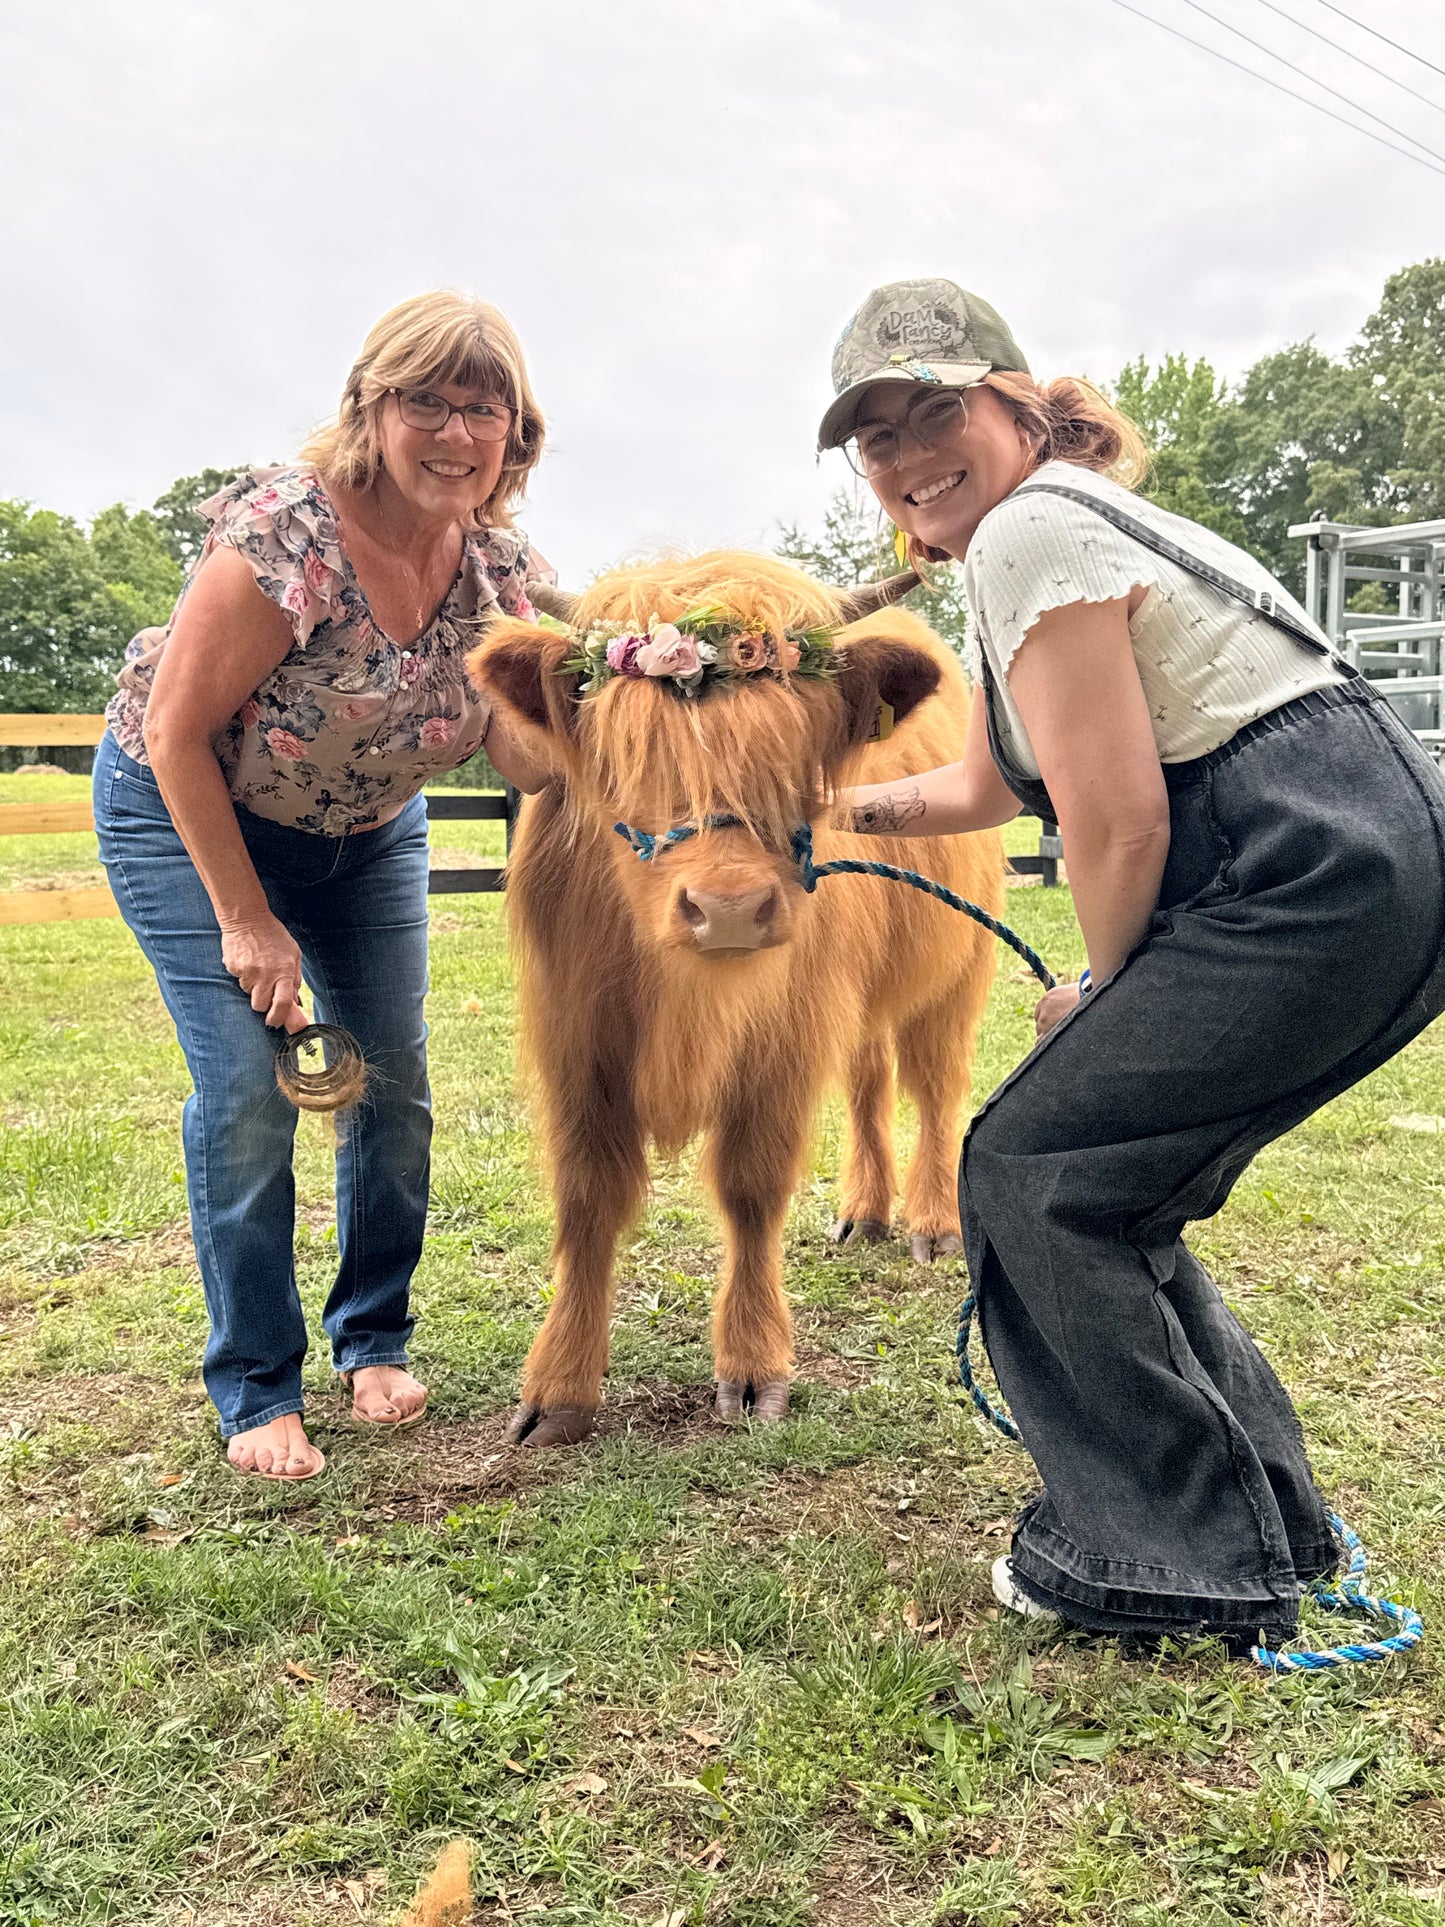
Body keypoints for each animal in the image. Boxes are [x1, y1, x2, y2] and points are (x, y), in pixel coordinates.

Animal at [467, 551, 1005, 1446]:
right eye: (632, 752)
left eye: (791, 755)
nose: (727, 907)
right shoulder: (577, 1038)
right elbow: (586, 1195)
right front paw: (559, 1386)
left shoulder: (786, 1033)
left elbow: (752, 1188)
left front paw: (754, 1369)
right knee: (868, 1083)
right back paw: (865, 1212)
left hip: (955, 975)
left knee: (933, 1089)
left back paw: (931, 1223)